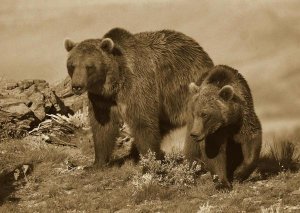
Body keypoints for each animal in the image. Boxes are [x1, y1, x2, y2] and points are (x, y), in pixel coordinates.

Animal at [63, 27, 213, 166]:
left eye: (89, 66)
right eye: (71, 65)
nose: (77, 86)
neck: (115, 84)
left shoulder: (138, 85)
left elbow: (142, 121)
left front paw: (152, 160)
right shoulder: (102, 99)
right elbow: (102, 127)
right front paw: (98, 163)